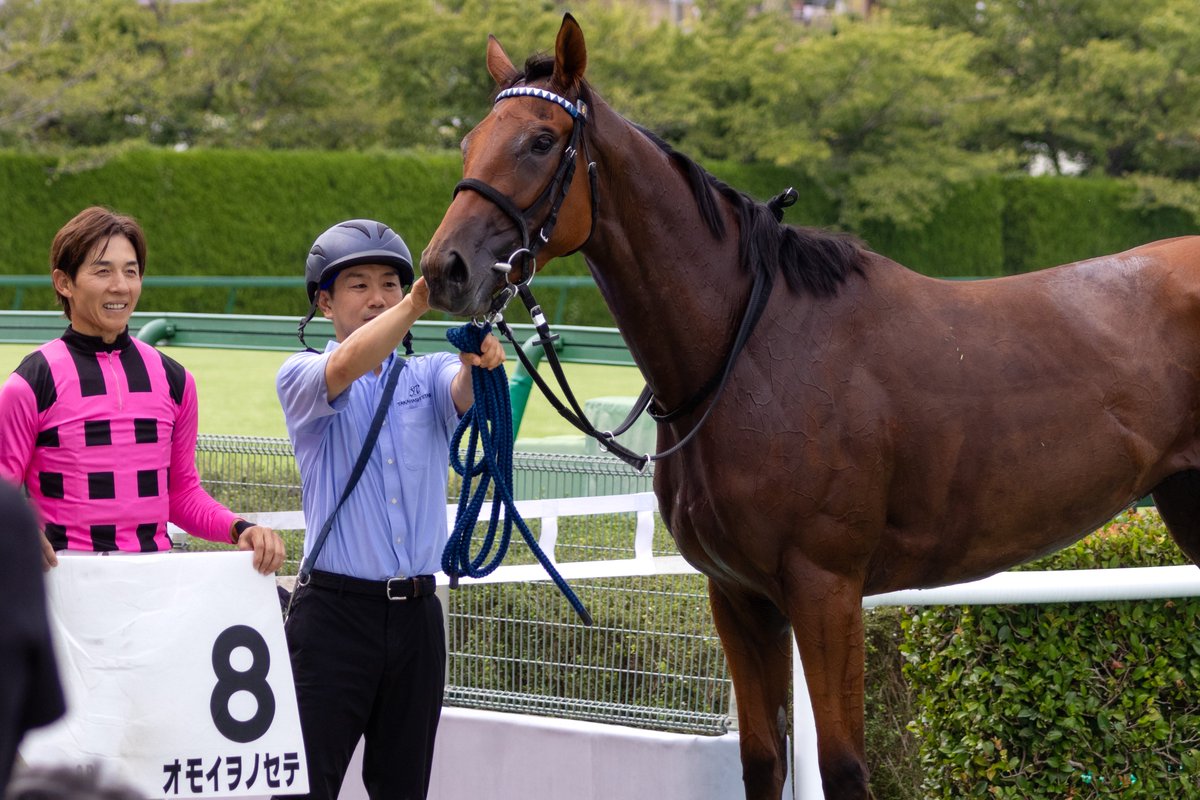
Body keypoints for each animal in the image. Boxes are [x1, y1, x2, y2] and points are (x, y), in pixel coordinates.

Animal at [420, 14, 1200, 800]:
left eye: (540, 139)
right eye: (468, 141)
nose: (443, 268)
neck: (752, 351)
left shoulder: (826, 591)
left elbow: (843, 765)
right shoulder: (738, 596)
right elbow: (764, 758)